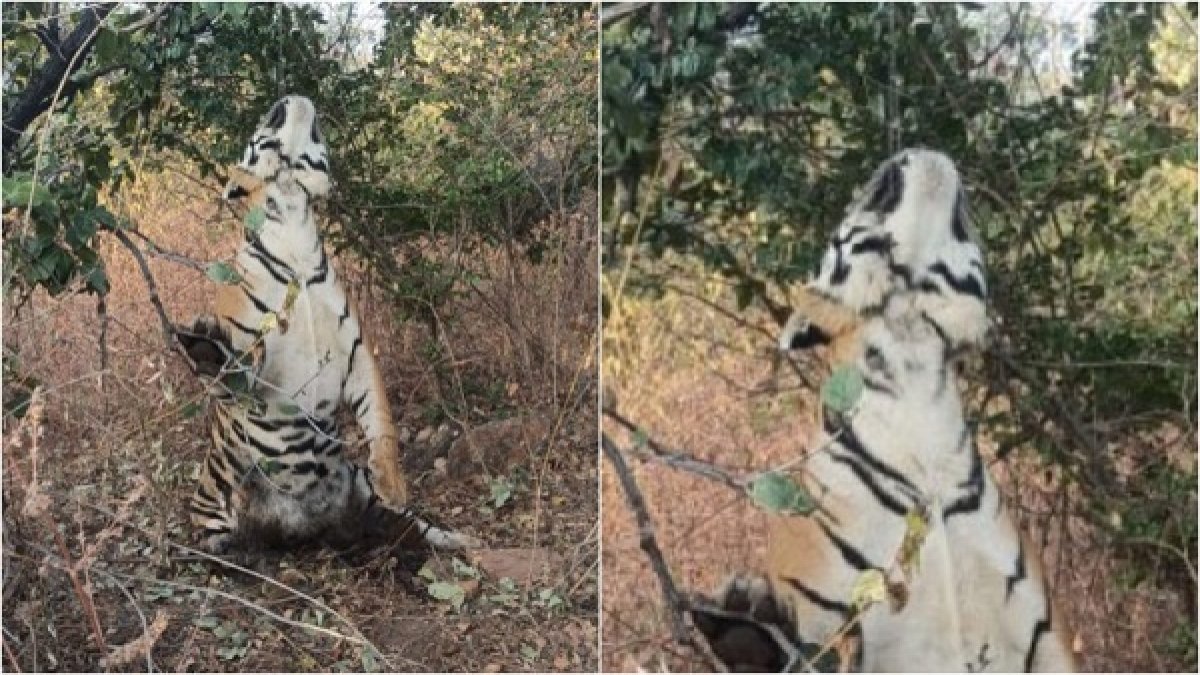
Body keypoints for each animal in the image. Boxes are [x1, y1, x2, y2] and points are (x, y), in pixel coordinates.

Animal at [176, 95, 478, 554]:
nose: (287, 96)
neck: (295, 224)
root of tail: (310, 530)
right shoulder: (252, 361)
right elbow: (231, 373)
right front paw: (205, 349)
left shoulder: (358, 354)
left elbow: (383, 421)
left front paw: (393, 481)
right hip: (215, 501)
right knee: (220, 534)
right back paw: (233, 548)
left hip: (362, 492)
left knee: (413, 527)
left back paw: (457, 540)